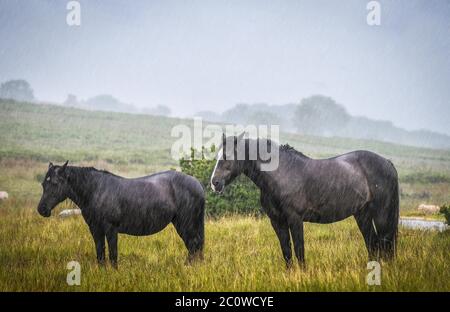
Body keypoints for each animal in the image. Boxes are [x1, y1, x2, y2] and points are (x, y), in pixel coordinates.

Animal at [37, 162, 205, 266]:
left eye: (55, 183)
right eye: (43, 183)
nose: (42, 209)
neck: (96, 190)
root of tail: (198, 185)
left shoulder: (111, 229)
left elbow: (113, 254)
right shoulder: (95, 229)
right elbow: (100, 253)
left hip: (186, 223)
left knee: (193, 245)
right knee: (194, 246)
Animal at [209, 133, 400, 266]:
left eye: (226, 156)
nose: (214, 183)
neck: (281, 173)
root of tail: (387, 162)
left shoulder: (295, 219)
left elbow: (299, 250)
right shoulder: (277, 221)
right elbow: (286, 251)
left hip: (382, 215)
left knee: (385, 244)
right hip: (362, 215)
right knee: (373, 244)